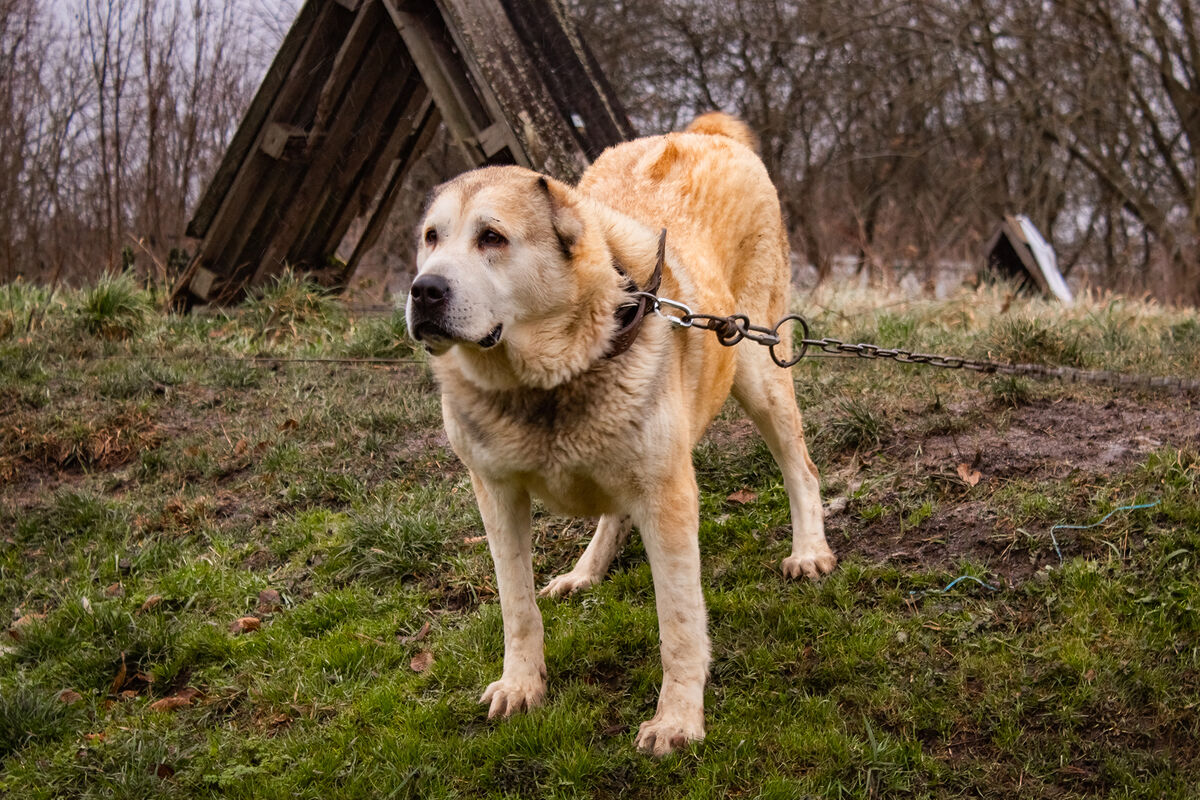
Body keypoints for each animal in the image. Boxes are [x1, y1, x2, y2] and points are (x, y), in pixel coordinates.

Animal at [403, 113, 835, 758]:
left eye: (492, 238)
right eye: (432, 238)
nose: (424, 290)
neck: (545, 383)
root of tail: (705, 132)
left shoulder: (667, 496)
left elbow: (678, 623)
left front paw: (678, 718)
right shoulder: (497, 495)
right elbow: (516, 607)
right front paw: (522, 685)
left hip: (757, 367)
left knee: (800, 468)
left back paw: (809, 551)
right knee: (613, 510)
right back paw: (586, 571)